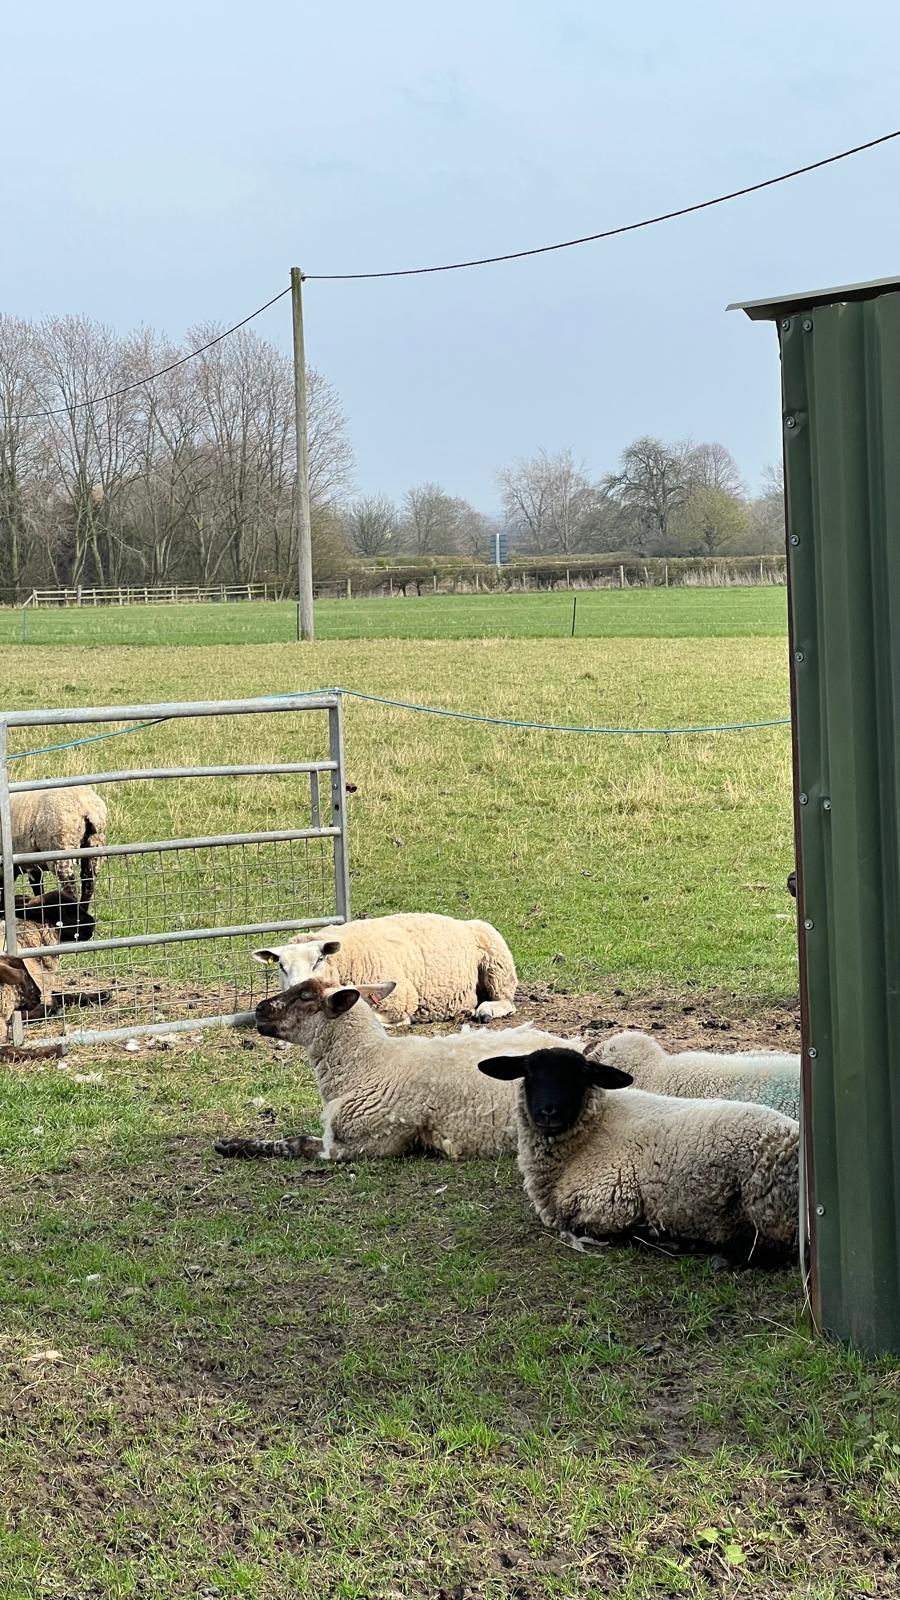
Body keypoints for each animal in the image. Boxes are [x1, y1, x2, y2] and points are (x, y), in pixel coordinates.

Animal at [215, 975, 575, 1162]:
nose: (259, 1010)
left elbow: (297, 1143)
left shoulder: (364, 1143)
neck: (370, 1066)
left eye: (305, 996)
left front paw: (234, 1146)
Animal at [252, 912, 518, 1026]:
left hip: (496, 961)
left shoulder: (400, 997)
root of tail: (461, 921)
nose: (297, 988)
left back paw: (486, 1010)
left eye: (319, 959)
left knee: (506, 1000)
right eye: (281, 966)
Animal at [478, 1046, 799, 1258]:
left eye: (581, 1075)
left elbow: (602, 1229)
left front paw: (652, 1233)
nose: (548, 1112)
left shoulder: (609, 1205)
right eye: (529, 1072)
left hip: (768, 1209)